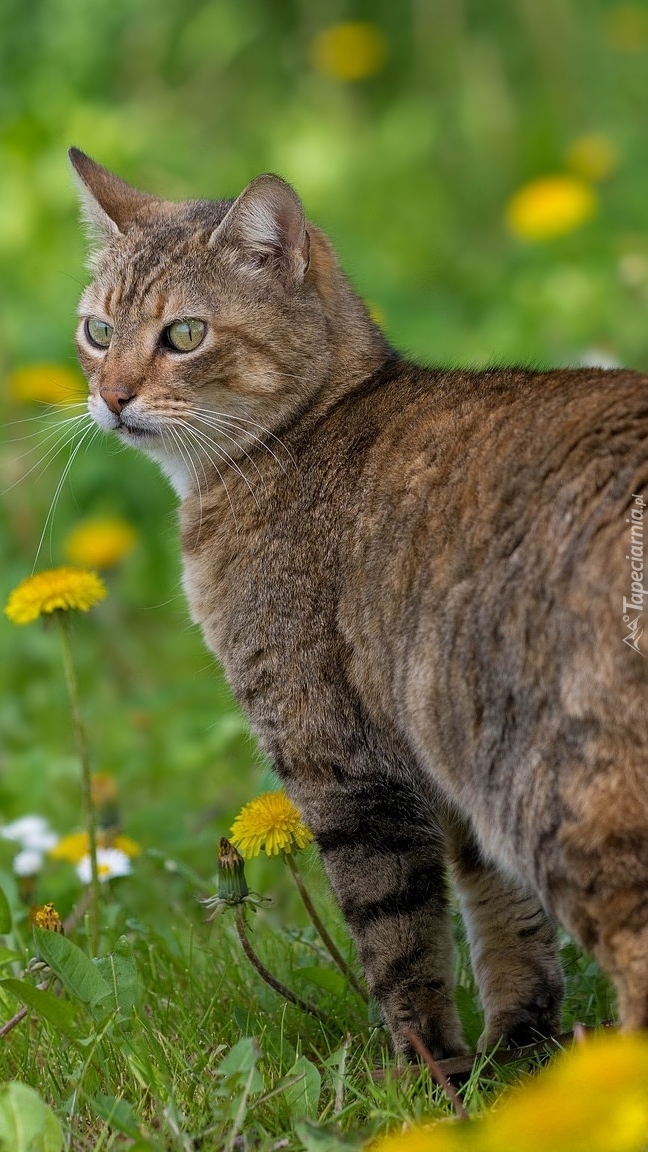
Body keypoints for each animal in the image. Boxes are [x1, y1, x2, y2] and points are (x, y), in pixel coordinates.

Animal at [68, 146, 645, 1059]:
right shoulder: (445, 773)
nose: (113, 396)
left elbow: (400, 946)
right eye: (97, 332)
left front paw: (429, 1073)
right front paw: (519, 1052)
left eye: (184, 335)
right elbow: (508, 926)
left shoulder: (342, 765)